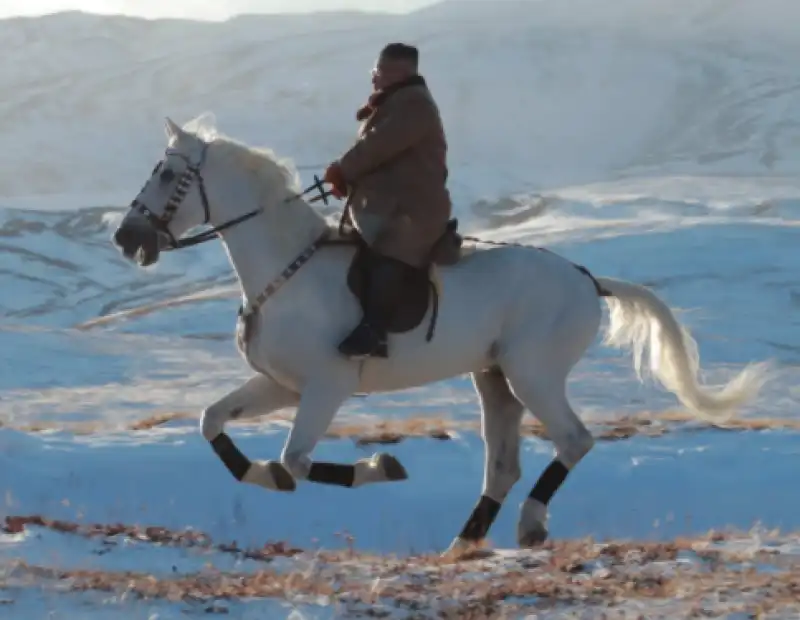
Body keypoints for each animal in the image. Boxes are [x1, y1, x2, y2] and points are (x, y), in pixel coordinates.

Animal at [111, 114, 768, 548]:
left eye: (166, 173)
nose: (126, 237)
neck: (286, 269)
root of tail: (587, 279)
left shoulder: (326, 387)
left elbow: (297, 460)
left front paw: (382, 467)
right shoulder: (283, 386)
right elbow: (213, 423)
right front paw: (263, 476)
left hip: (533, 373)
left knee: (574, 441)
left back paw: (529, 525)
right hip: (494, 378)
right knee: (503, 465)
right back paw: (464, 544)